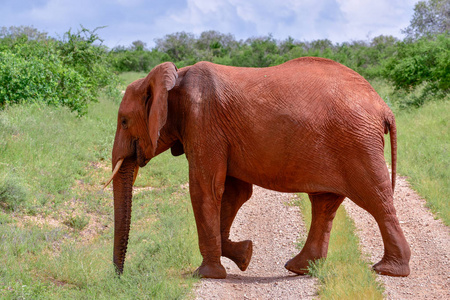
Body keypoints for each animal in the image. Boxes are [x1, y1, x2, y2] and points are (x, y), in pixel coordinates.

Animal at [104, 58, 412, 278]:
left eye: (123, 121)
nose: (119, 277)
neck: (173, 78)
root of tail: (383, 106)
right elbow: (234, 193)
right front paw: (244, 255)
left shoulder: (202, 122)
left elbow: (206, 189)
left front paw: (206, 275)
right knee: (325, 204)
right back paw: (300, 268)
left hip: (357, 143)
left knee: (376, 200)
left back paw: (389, 271)